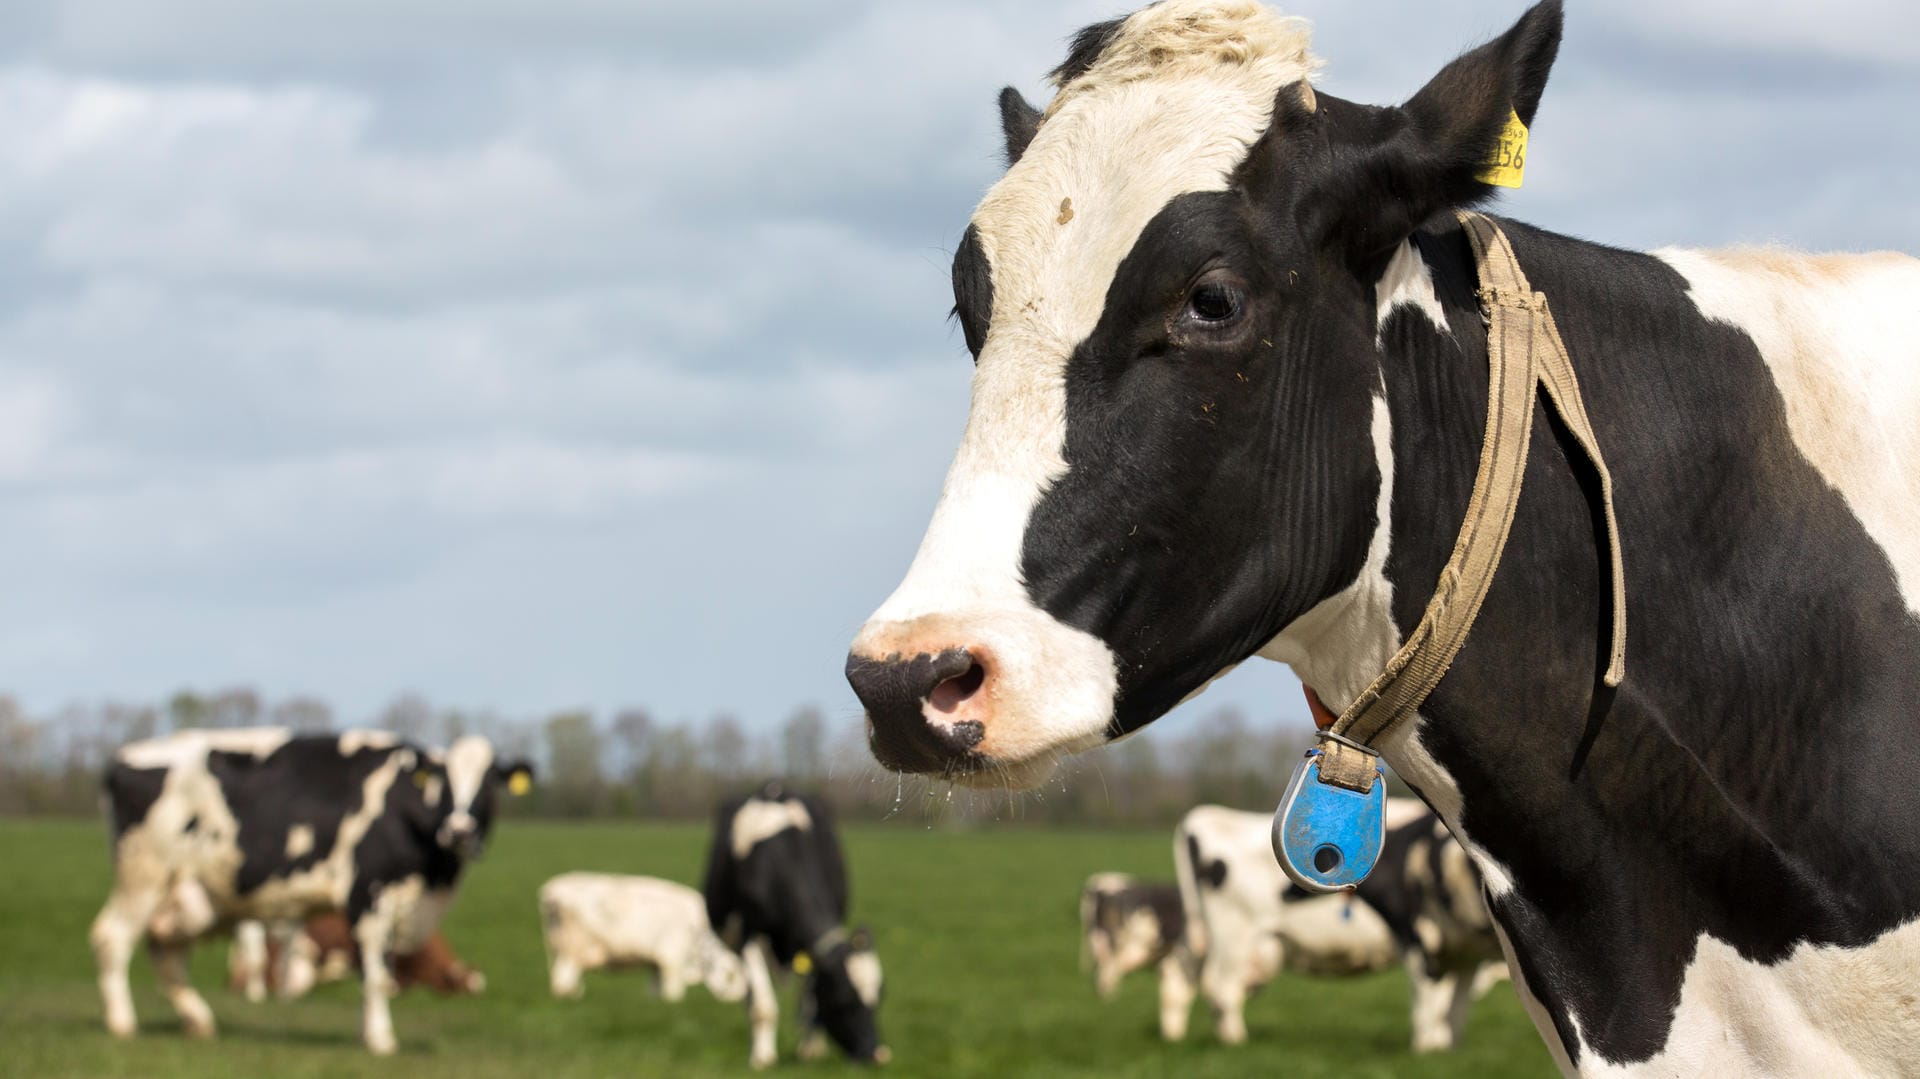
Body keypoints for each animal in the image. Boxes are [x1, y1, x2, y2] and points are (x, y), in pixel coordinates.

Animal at [88, 721, 526, 1052]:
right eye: (445, 782)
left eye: (490, 784)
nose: (460, 830)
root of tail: (123, 758)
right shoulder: (368, 892)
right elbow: (376, 972)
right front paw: (381, 1041)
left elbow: (373, 973)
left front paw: (368, 1035)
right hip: (144, 877)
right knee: (113, 937)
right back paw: (123, 1024)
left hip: (190, 894)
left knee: (166, 953)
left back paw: (199, 1021)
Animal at [545, 867, 752, 1006]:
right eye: (731, 975)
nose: (739, 998)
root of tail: (552, 890)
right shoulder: (672, 957)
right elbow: (673, 990)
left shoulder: (656, 963)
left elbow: (656, 989)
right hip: (572, 949)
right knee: (563, 977)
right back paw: (571, 997)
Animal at [702, 779, 887, 1067]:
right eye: (844, 998)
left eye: (879, 997)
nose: (875, 1054)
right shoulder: (747, 935)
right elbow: (763, 1006)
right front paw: (763, 1059)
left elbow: (810, 1001)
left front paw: (810, 1051)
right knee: (751, 996)